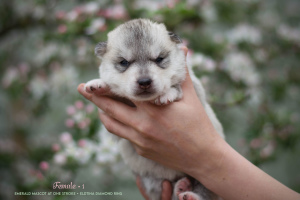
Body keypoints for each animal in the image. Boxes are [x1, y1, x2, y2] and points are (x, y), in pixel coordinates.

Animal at [84, 18, 223, 200]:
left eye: (159, 59)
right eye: (124, 62)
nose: (144, 82)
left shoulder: (195, 89)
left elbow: (177, 87)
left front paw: (168, 93)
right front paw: (98, 84)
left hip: (209, 175)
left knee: (206, 191)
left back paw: (191, 194)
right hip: (152, 180)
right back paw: (181, 186)